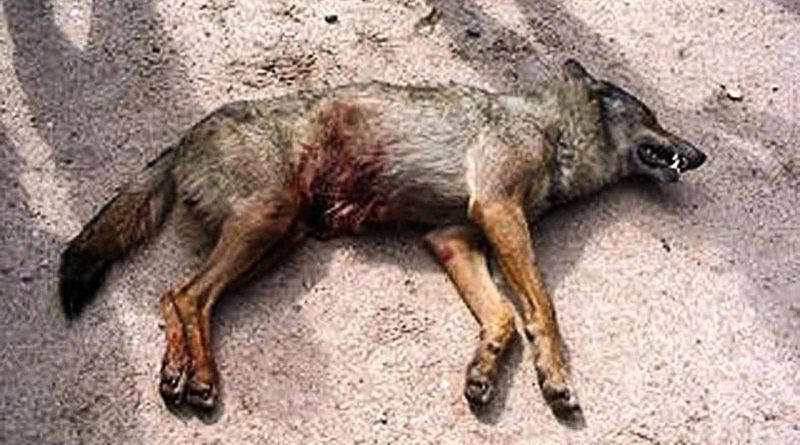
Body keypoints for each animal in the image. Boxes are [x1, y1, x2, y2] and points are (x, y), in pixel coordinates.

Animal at [59, 60, 706, 417]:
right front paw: (556, 380)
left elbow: (501, 317)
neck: (549, 128)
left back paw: (181, 375)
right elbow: (543, 311)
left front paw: (483, 372)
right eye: (655, 118)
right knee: (185, 296)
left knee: (182, 298)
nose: (701, 155)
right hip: (267, 223)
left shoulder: (454, 239)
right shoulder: (499, 212)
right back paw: (199, 380)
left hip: (279, 239)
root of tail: (184, 138)